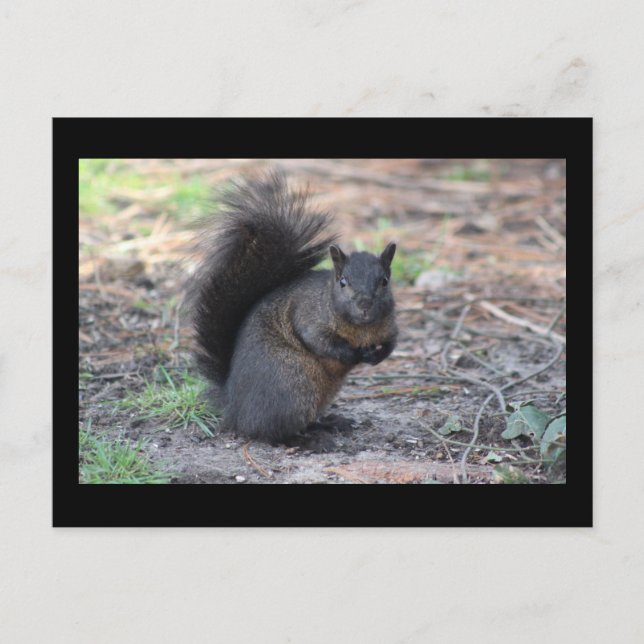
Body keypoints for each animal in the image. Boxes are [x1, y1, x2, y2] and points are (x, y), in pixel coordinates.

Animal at [187, 171, 398, 445]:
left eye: (384, 281)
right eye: (343, 282)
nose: (364, 305)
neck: (360, 329)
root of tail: (234, 410)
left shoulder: (390, 326)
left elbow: (392, 344)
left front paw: (376, 356)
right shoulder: (308, 315)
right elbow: (318, 340)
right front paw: (352, 354)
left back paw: (329, 423)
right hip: (293, 386)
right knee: (270, 433)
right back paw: (307, 441)